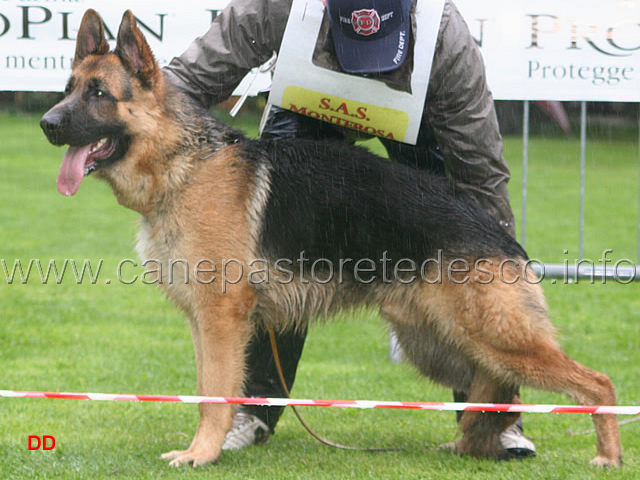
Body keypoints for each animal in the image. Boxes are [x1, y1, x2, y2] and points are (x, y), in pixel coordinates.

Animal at [40, 9, 620, 468]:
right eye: (68, 89)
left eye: (99, 94)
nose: (47, 124)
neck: (186, 164)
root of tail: (498, 233)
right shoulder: (205, 323)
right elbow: (210, 390)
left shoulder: (222, 320)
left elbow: (214, 393)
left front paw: (201, 454)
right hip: (437, 344)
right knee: (488, 389)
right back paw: (470, 444)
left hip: (495, 338)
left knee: (597, 382)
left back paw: (606, 455)